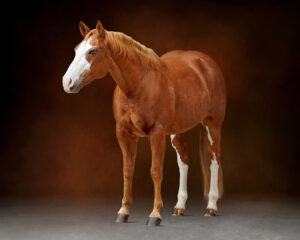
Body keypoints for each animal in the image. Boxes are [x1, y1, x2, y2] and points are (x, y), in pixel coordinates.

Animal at [62, 19, 225, 226]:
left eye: (93, 51)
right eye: (76, 50)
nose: (67, 82)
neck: (138, 85)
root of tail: (206, 62)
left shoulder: (156, 133)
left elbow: (155, 171)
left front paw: (155, 215)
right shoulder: (124, 134)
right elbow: (127, 171)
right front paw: (123, 212)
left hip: (213, 125)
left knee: (214, 160)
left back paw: (211, 207)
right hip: (178, 130)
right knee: (184, 162)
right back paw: (179, 207)